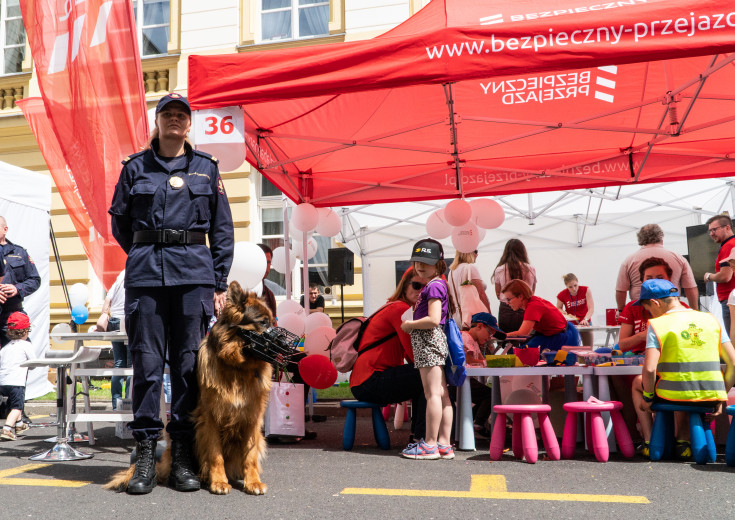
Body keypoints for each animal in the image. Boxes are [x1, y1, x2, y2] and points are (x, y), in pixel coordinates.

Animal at [106, 282, 274, 494]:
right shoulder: (210, 418)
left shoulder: (252, 417)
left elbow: (250, 456)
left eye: (273, 321)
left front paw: (253, 482)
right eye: (263, 322)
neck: (237, 367)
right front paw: (219, 482)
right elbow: (215, 454)